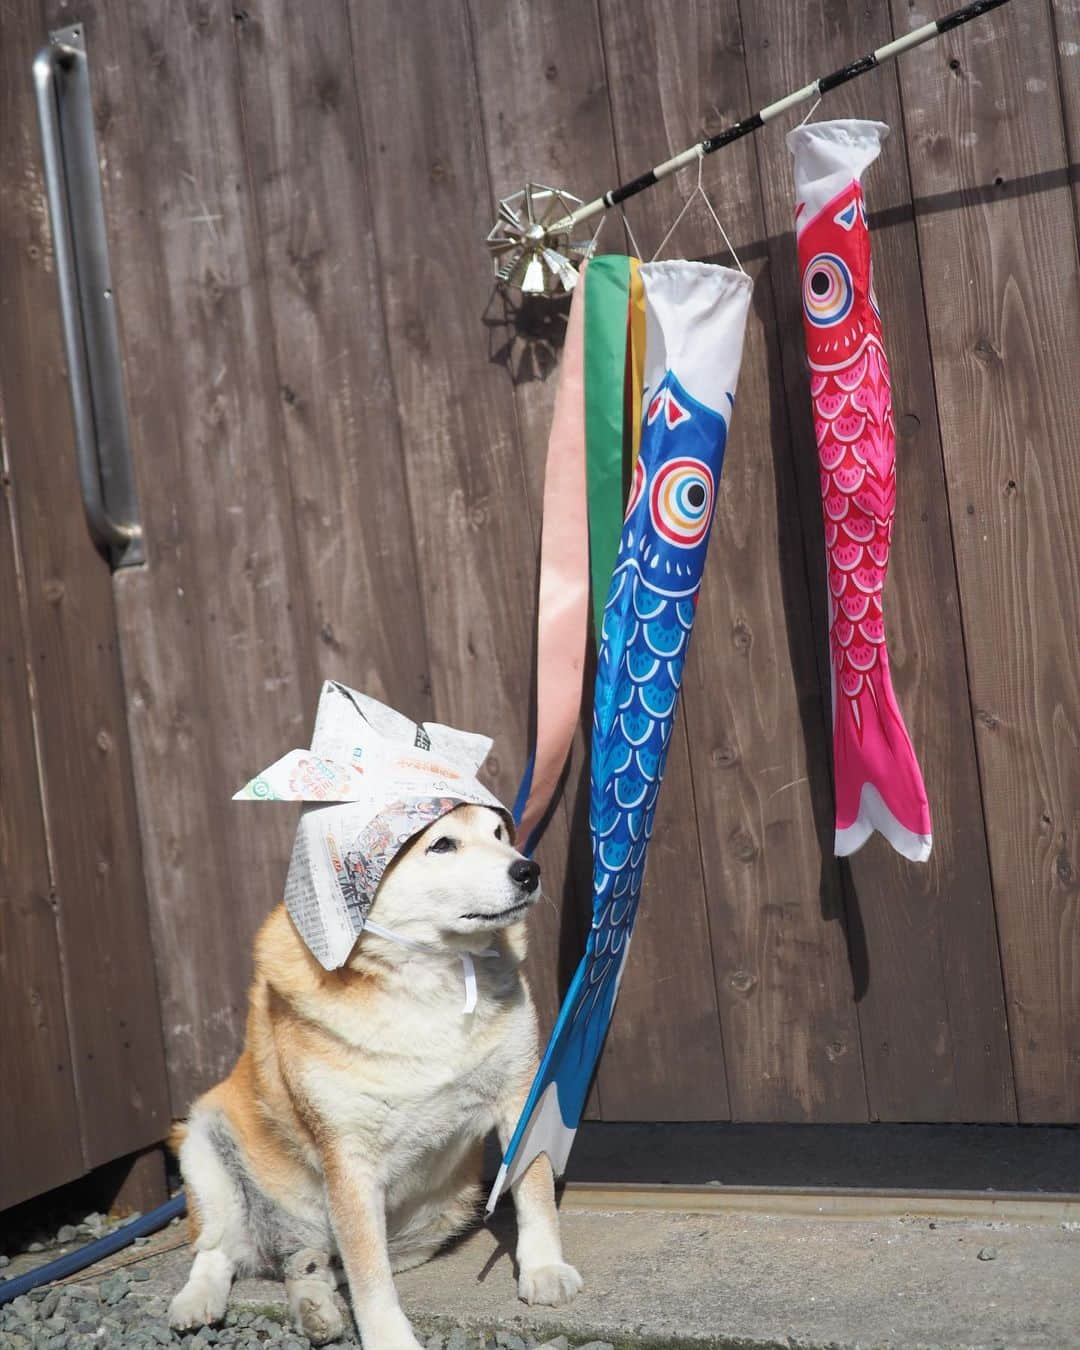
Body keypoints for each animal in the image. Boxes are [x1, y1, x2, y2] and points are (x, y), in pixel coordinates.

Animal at [167, 804, 583, 1344]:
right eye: (442, 844)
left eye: (498, 834)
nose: (527, 870)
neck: (427, 981)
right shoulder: (350, 1159)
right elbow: (370, 1277)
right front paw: (390, 1338)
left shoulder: (520, 1094)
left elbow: (534, 1192)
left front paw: (543, 1269)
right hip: (205, 1149)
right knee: (216, 1251)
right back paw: (198, 1300)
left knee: (308, 1265)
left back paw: (316, 1309)